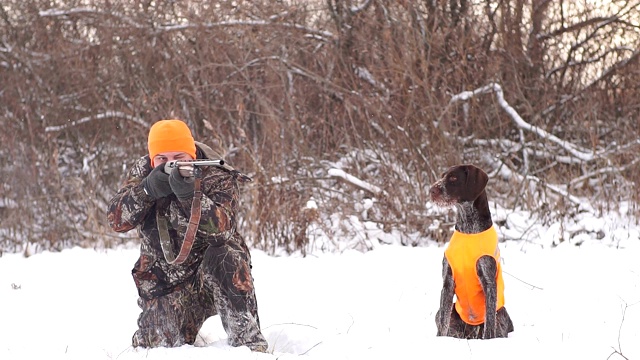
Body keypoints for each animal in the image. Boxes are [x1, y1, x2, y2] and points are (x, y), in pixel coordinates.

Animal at [430, 165, 516, 338]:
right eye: (442, 176)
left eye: (453, 178)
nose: (431, 190)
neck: (468, 230)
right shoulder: (447, 282)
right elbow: (443, 322)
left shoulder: (489, 283)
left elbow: (489, 324)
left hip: (501, 315)